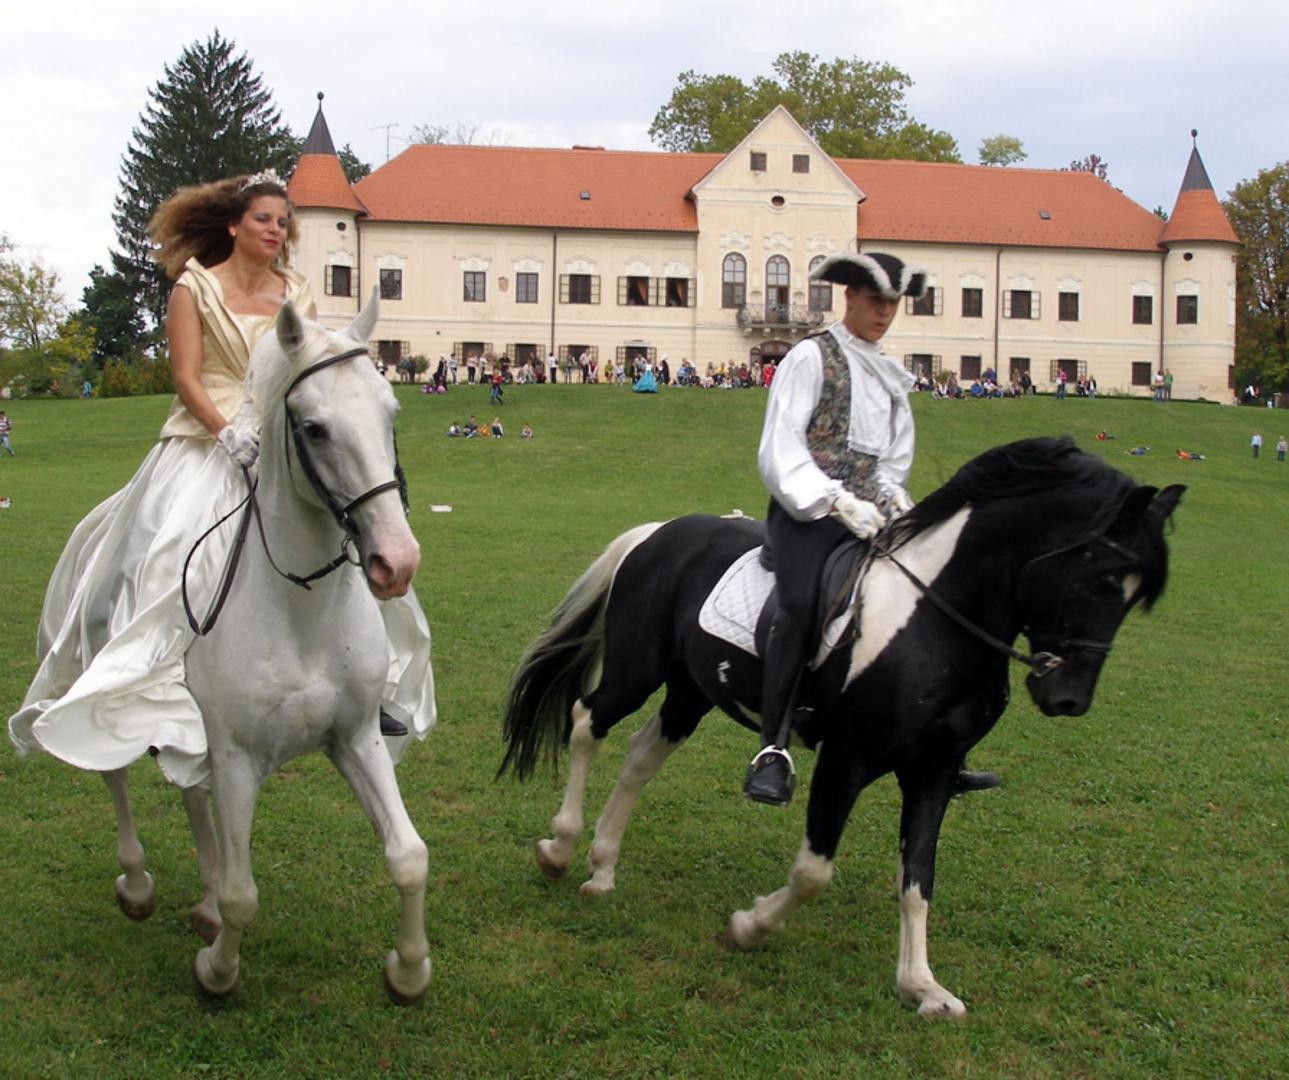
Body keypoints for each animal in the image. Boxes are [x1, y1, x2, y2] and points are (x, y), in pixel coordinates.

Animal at [102, 294, 433, 1003]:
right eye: (313, 429)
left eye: (390, 413)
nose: (395, 563)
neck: (300, 610)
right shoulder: (237, 758)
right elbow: (241, 895)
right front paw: (216, 973)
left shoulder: (356, 738)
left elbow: (408, 857)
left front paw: (408, 971)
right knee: (112, 771)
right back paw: (136, 884)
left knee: (189, 793)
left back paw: (194, 903)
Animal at [499, 437, 1183, 1019]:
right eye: (1100, 576)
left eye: (1134, 596)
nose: (1068, 698)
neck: (934, 621)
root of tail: (659, 533)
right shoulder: (846, 759)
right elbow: (813, 872)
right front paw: (749, 926)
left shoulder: (934, 771)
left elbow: (918, 878)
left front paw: (922, 986)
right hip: (637, 668)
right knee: (587, 724)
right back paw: (560, 849)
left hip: (690, 690)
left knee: (641, 755)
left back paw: (602, 870)